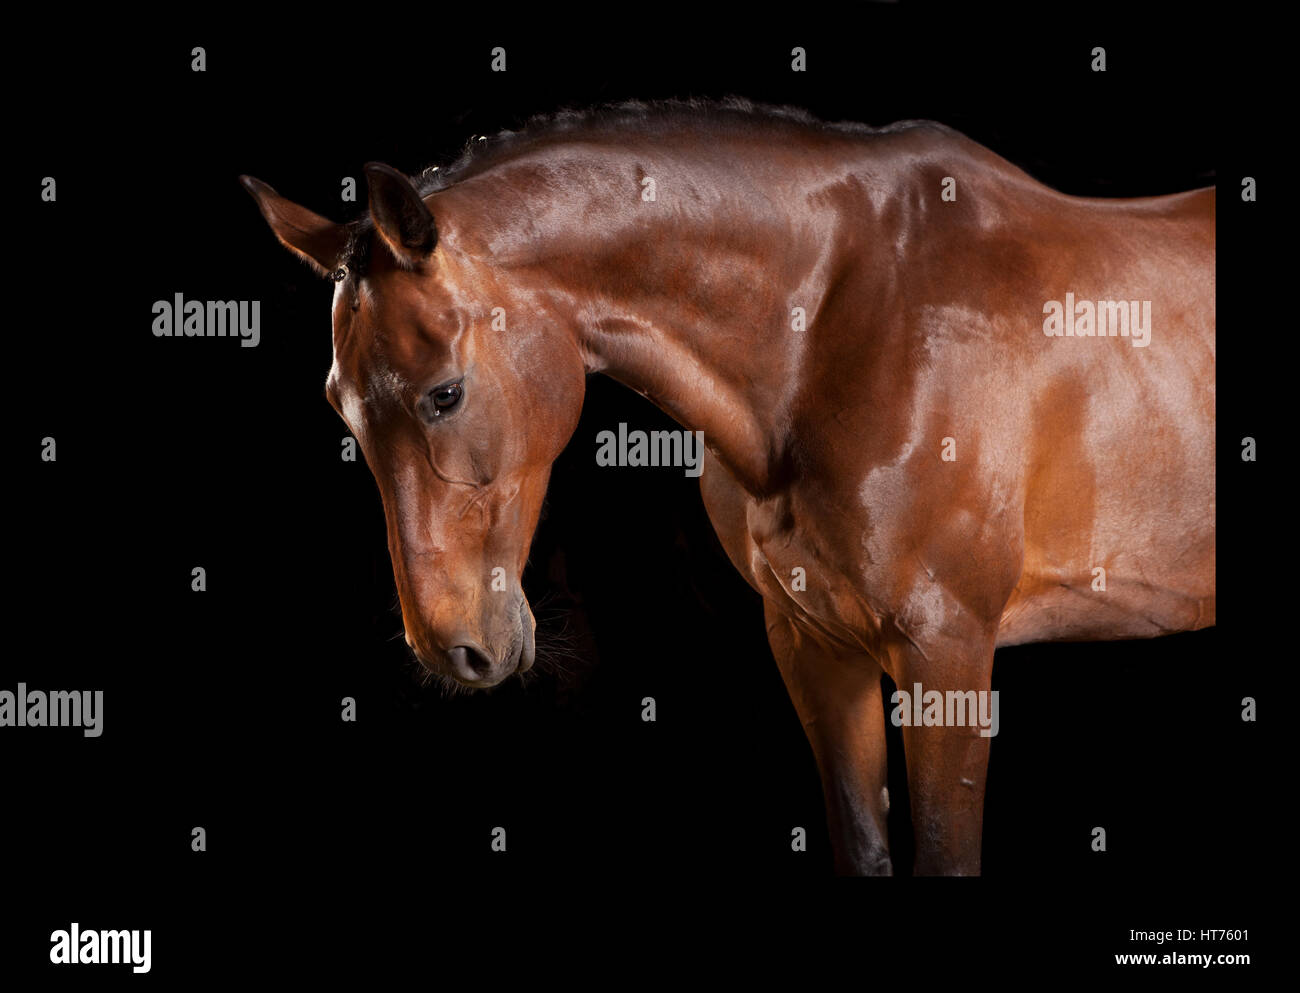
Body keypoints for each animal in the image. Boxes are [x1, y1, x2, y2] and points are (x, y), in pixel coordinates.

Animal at [239, 98, 1211, 878]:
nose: (455, 648)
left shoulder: (949, 655)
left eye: (445, 393)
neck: (839, 324)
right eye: (339, 406)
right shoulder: (817, 647)